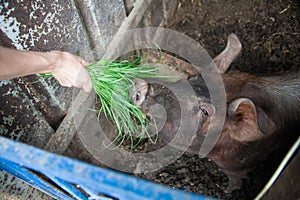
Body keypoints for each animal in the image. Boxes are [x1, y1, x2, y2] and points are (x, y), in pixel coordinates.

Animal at [131, 34, 300, 192]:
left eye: (205, 111)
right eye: (192, 78)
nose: (142, 86)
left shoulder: (237, 167)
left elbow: (235, 181)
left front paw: (228, 190)